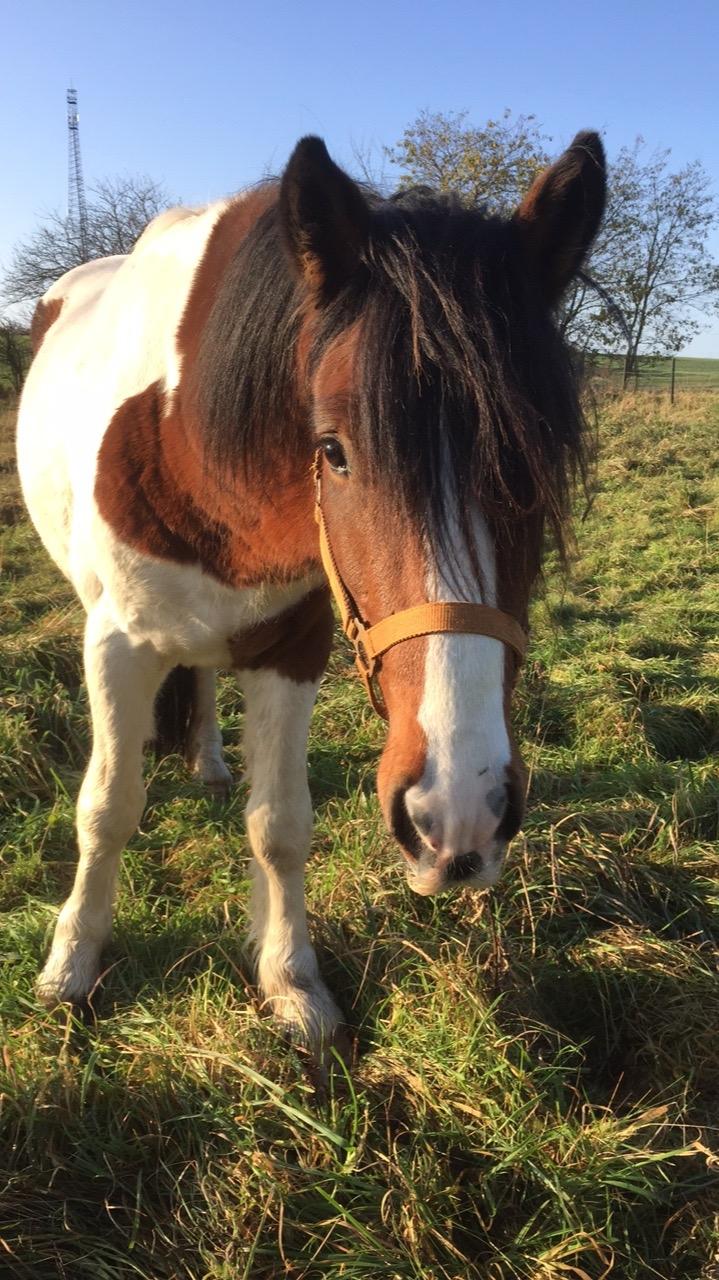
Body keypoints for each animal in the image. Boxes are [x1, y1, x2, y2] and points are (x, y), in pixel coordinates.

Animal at [13, 129, 601, 1054]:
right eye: (332, 451)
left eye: (532, 467)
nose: (458, 817)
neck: (194, 448)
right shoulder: (115, 644)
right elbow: (106, 807)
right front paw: (73, 961)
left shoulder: (293, 648)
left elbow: (280, 827)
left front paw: (290, 982)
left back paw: (211, 762)